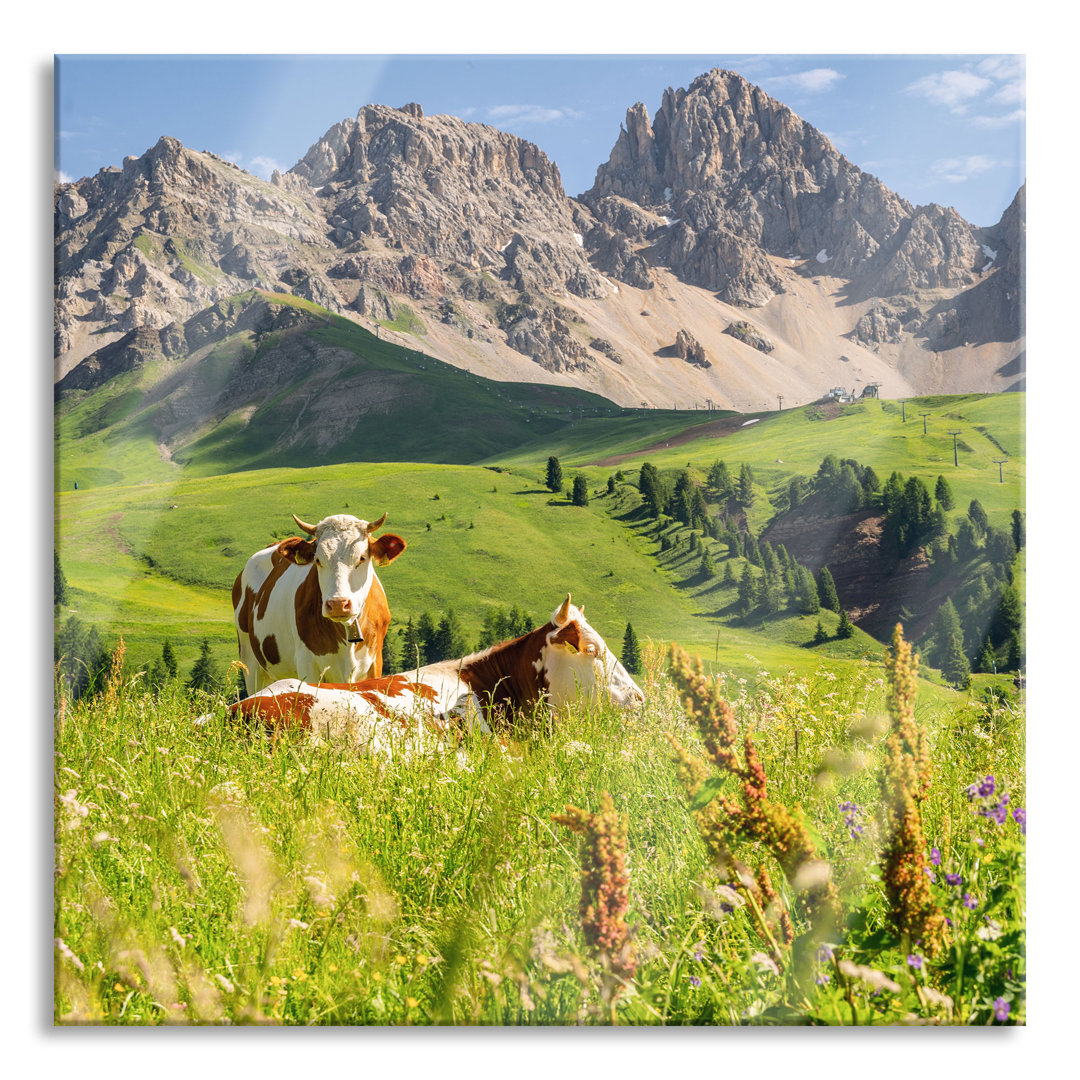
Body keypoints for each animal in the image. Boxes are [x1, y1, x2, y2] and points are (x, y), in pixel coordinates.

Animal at [232, 511, 406, 691]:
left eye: (362, 558)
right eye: (318, 560)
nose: (338, 604)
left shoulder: (375, 662)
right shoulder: (307, 664)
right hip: (250, 661)